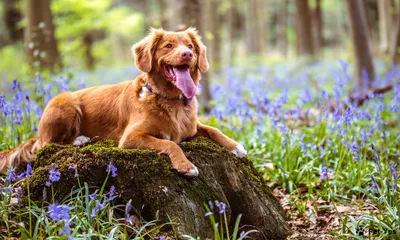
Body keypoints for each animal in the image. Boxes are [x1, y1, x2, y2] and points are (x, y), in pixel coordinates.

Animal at [0, 28, 245, 178]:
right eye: (168, 46)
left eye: (191, 47)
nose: (187, 54)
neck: (169, 100)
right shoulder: (130, 137)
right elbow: (170, 144)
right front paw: (186, 166)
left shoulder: (191, 127)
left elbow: (213, 129)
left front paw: (236, 147)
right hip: (66, 102)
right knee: (47, 144)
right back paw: (79, 139)